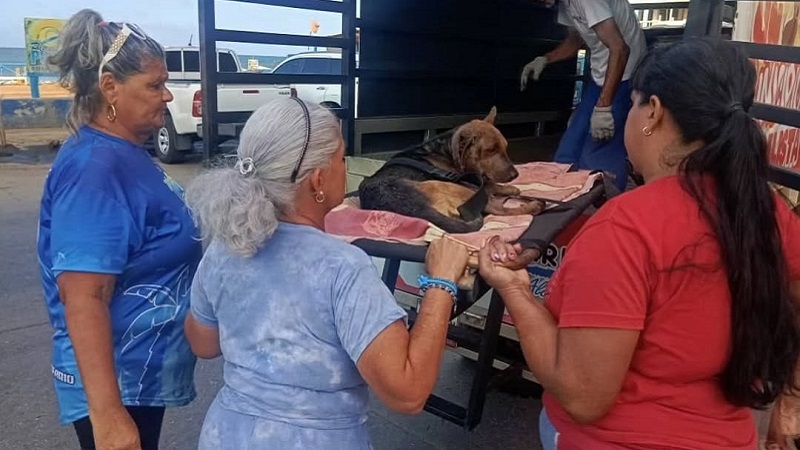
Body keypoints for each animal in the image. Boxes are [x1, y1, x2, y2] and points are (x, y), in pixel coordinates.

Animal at [358, 107, 543, 234]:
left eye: (505, 147)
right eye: (491, 150)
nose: (515, 175)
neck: (446, 150)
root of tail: (413, 209)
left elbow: (490, 183)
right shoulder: (467, 181)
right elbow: (490, 185)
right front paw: (509, 189)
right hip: (450, 187)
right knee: (496, 207)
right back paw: (532, 206)